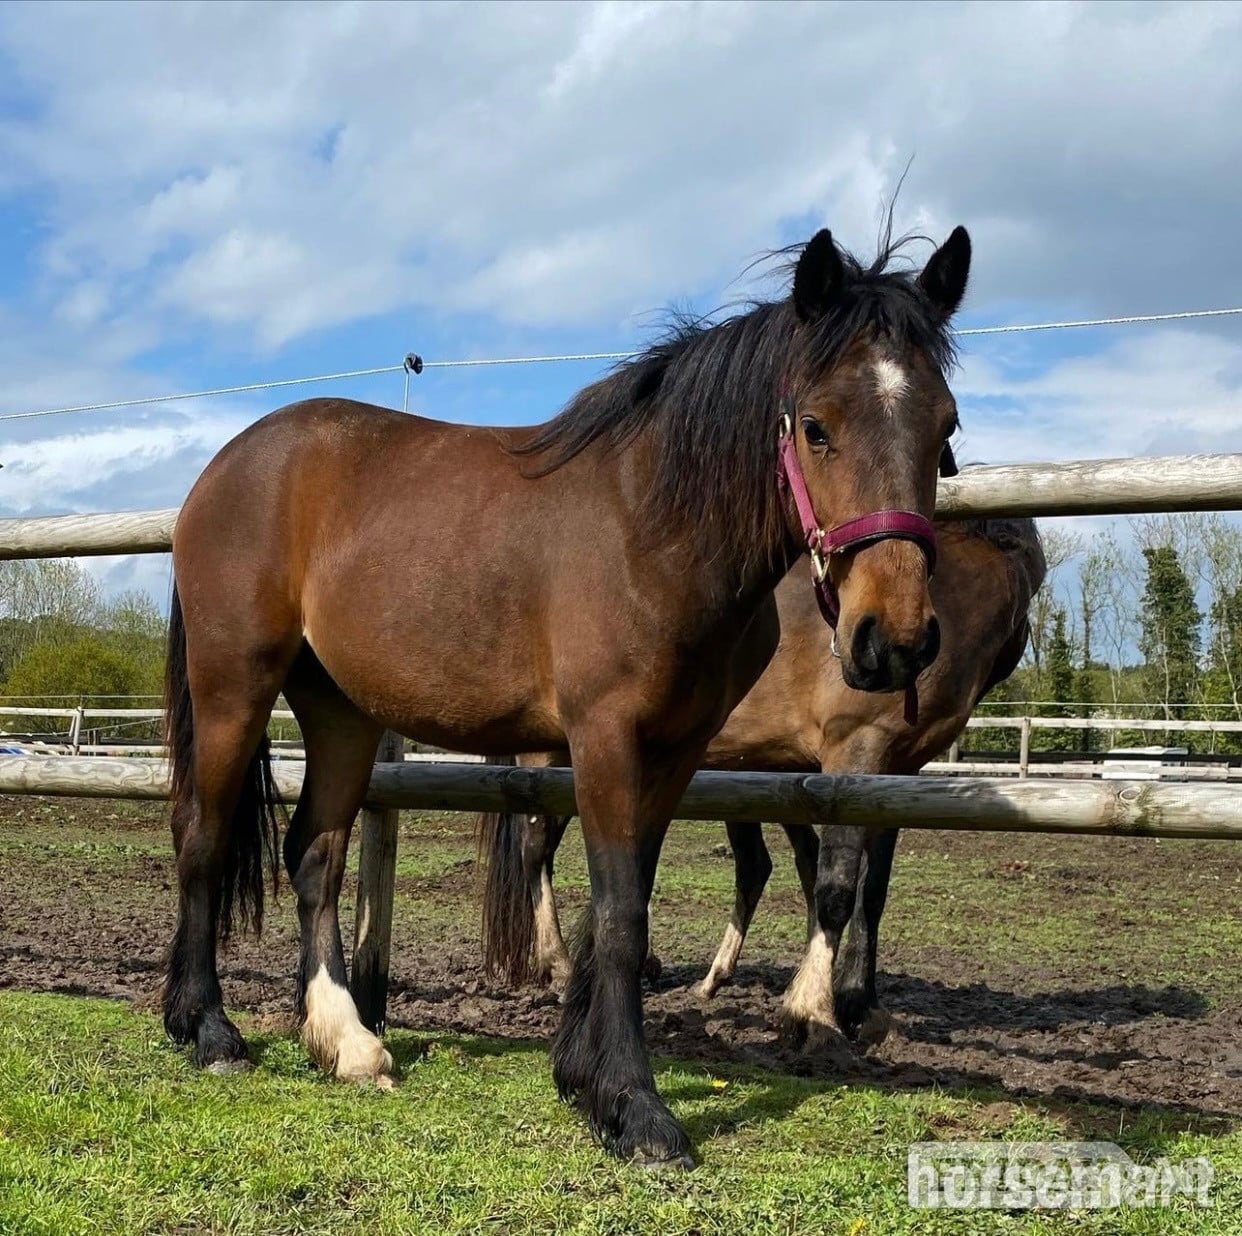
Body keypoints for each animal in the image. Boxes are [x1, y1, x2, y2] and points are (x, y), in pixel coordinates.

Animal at [162, 222, 971, 1168]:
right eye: (816, 427)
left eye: (945, 426)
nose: (895, 638)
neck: (653, 526)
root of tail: (226, 467)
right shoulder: (604, 736)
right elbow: (620, 916)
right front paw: (635, 1106)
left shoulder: (676, 749)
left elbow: (625, 907)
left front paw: (583, 1077)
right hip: (235, 687)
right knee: (203, 837)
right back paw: (207, 1029)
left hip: (340, 713)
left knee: (314, 856)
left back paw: (346, 1041)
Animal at [478, 513, 1045, 1059]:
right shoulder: (856, 751)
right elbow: (838, 884)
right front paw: (815, 1013)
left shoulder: (897, 774)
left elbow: (872, 891)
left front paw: (861, 1005)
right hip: (557, 755)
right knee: (536, 849)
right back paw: (558, 964)